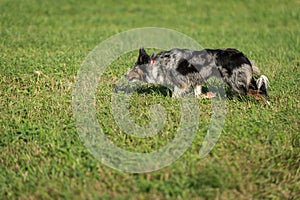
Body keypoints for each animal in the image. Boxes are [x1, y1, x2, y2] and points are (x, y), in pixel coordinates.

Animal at [125, 47, 270, 99]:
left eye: (134, 69)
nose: (125, 75)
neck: (160, 64)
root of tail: (243, 57)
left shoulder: (182, 83)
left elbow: (174, 96)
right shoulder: (196, 80)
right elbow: (198, 94)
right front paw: (209, 95)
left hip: (235, 83)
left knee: (258, 91)